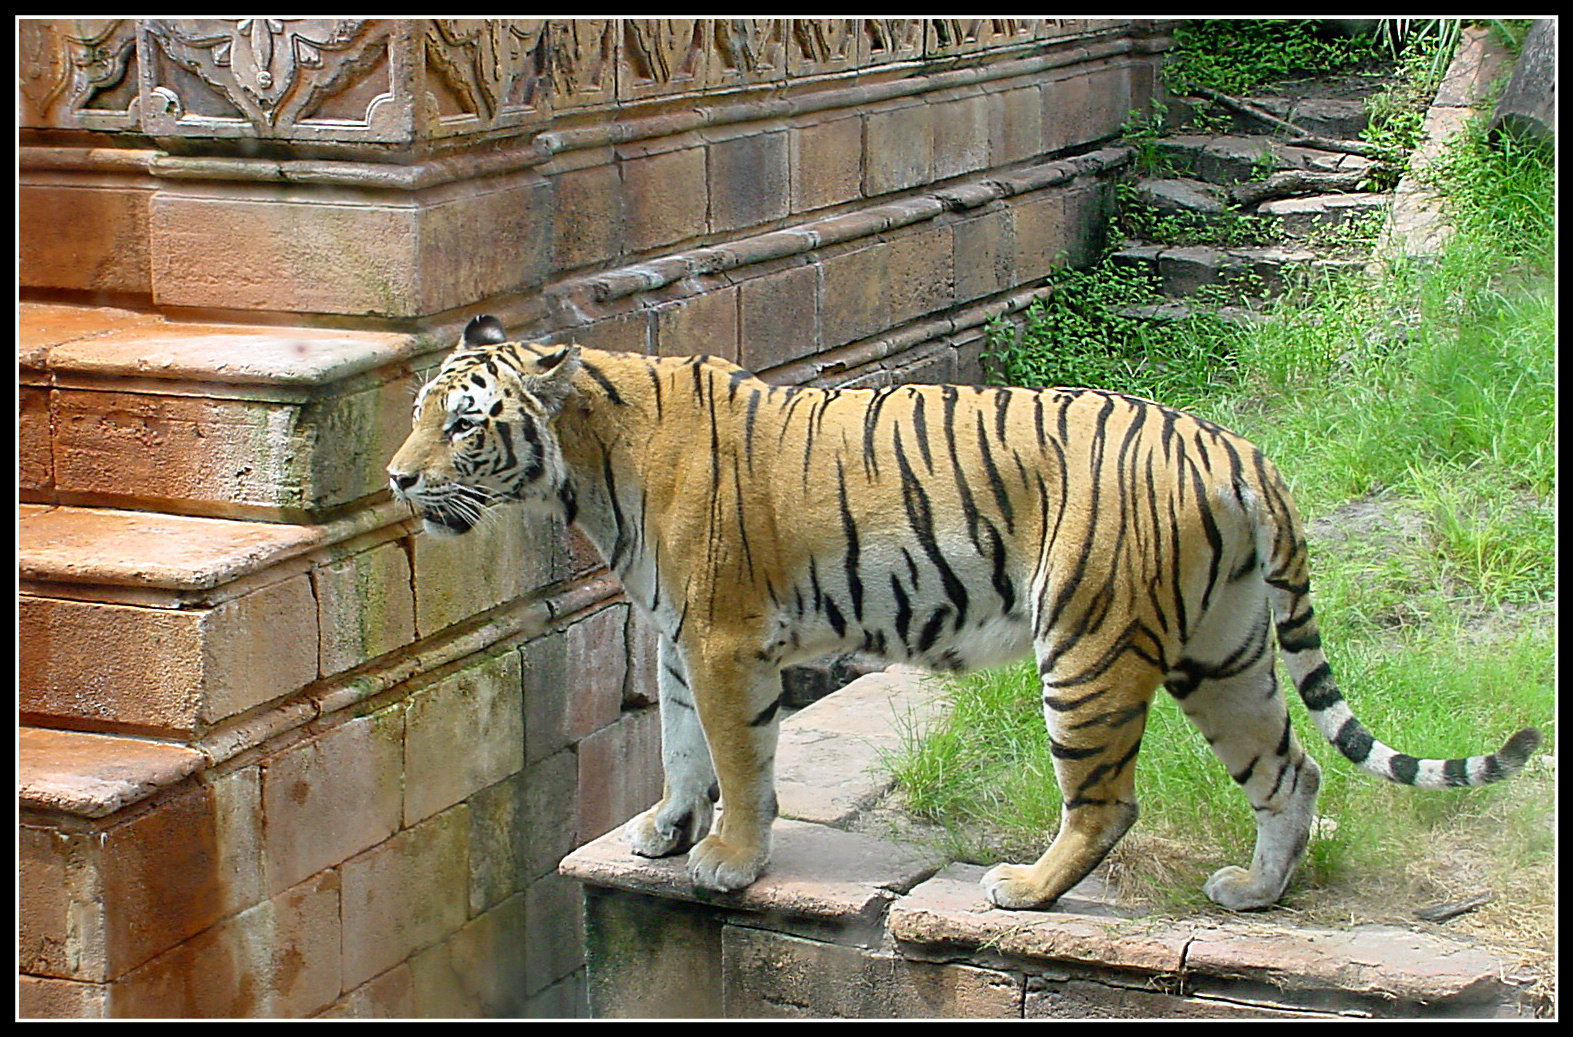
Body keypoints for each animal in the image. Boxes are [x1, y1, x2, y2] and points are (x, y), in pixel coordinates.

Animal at [386, 314, 1541, 906]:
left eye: (464, 422)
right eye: (418, 413)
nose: (396, 479)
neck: (583, 468)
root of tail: (1234, 445)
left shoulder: (720, 641)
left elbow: (740, 762)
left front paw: (728, 859)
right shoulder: (675, 641)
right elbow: (676, 748)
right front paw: (666, 832)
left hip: (1084, 644)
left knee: (1107, 802)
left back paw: (1024, 888)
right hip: (1224, 652)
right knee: (1290, 767)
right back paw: (1252, 891)